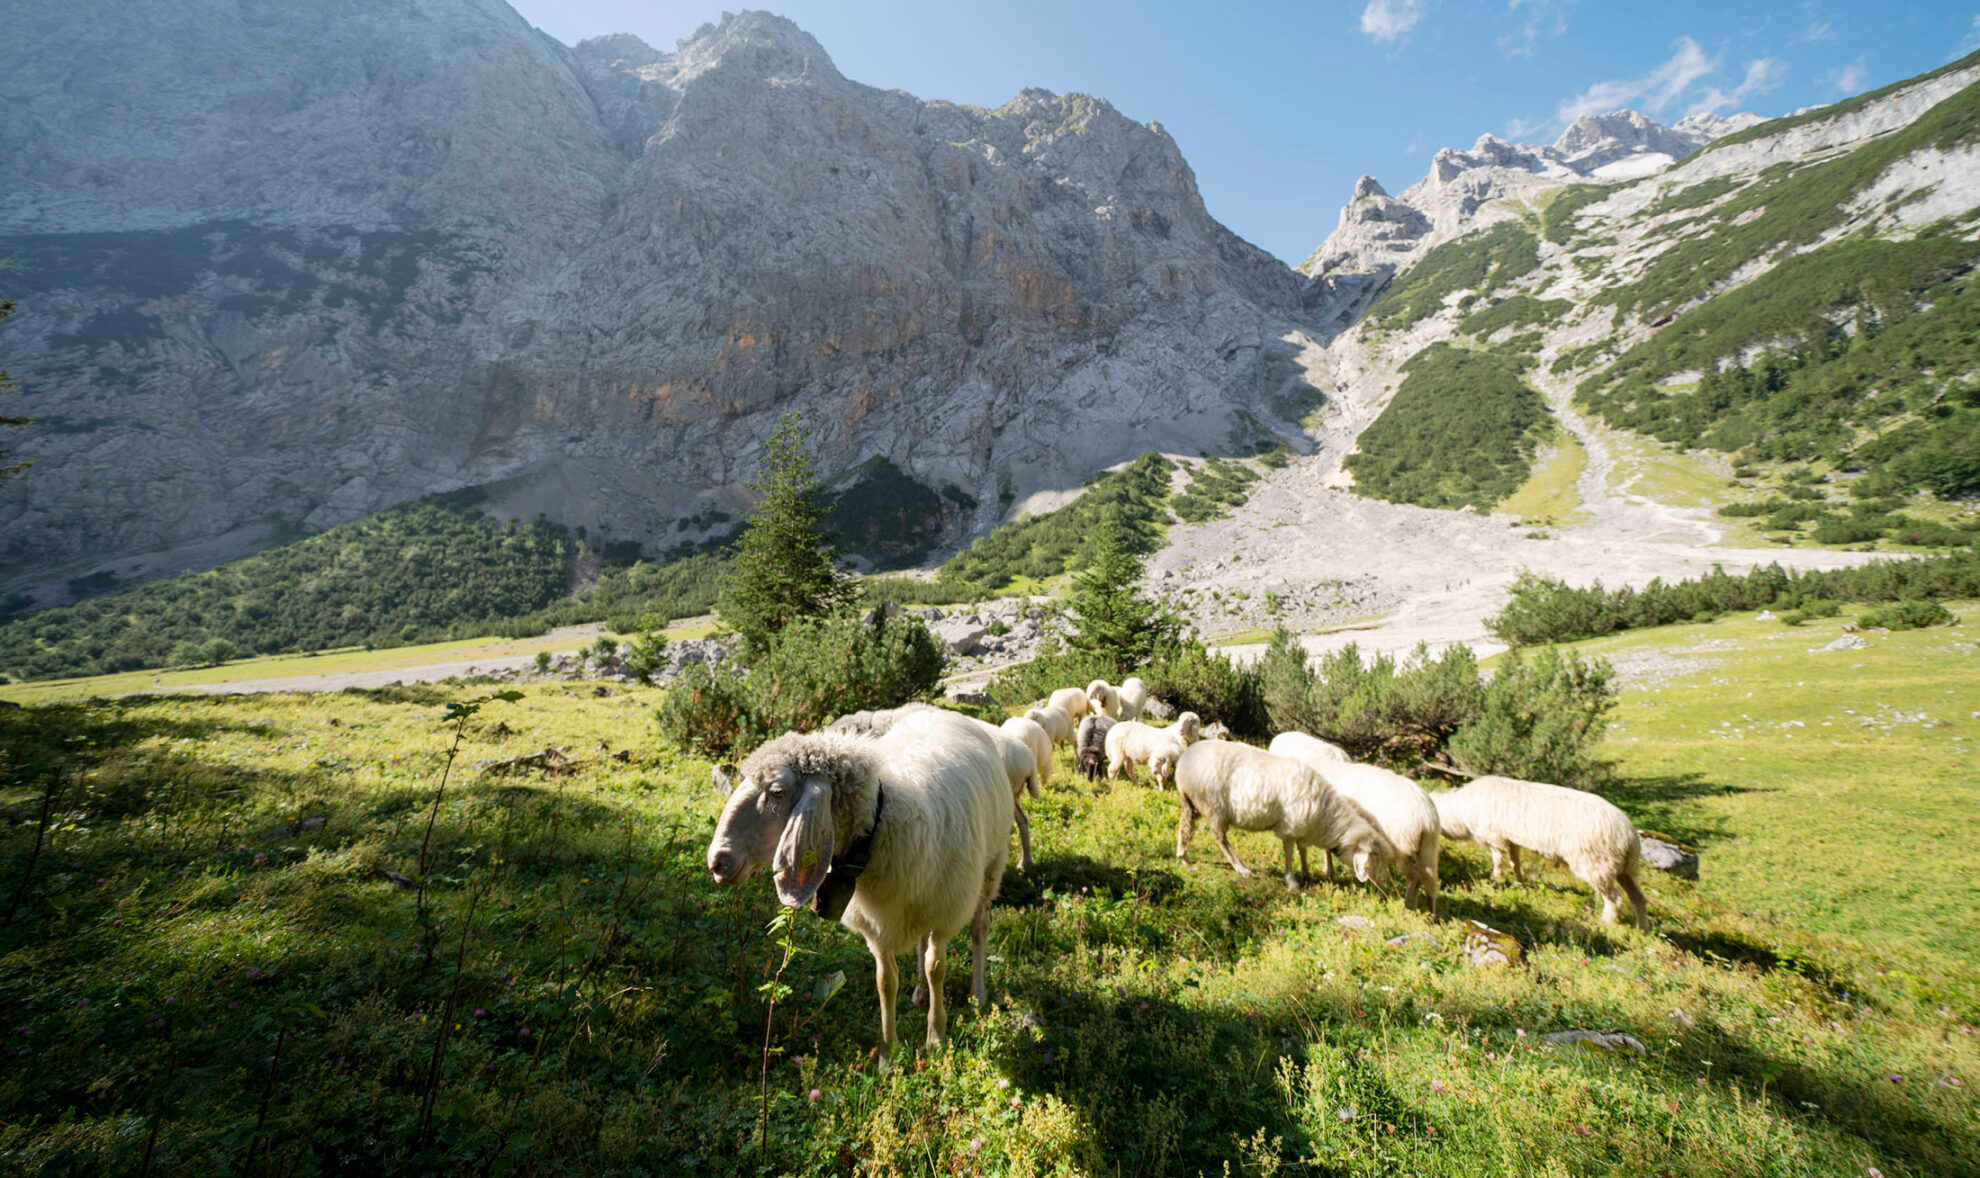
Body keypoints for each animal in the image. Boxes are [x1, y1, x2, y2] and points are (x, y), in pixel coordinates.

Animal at [708, 708, 1013, 1069]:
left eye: (778, 791)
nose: (717, 861)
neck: (880, 822)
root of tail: (940, 711)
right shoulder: (877, 926)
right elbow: (886, 982)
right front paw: (887, 1055)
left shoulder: (944, 911)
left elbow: (936, 967)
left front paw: (936, 1038)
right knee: (920, 942)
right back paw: (919, 993)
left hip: (991, 865)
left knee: (979, 927)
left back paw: (977, 994)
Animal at [1172, 740, 1393, 890]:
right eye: (1375, 856)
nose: (1385, 881)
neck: (1325, 816)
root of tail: (1183, 763)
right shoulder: (1290, 827)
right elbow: (1289, 851)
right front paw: (1292, 881)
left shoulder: (1302, 828)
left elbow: (1302, 849)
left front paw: (1306, 873)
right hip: (1214, 807)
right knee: (1220, 839)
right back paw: (1241, 868)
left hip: (1192, 802)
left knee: (1185, 827)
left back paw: (1184, 856)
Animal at [1267, 732, 1441, 918]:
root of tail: (1427, 816)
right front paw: (1328, 872)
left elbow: (1303, 848)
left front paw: (1309, 874)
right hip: (1428, 848)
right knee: (1429, 881)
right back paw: (1429, 914)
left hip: (1398, 847)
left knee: (1412, 876)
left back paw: (1404, 905)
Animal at [1433, 776, 1647, 930]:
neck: (1460, 812)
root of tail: (1629, 834)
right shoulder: (1512, 841)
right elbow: (1516, 865)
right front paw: (1522, 888)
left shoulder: (1495, 839)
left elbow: (1498, 865)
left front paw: (1495, 885)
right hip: (1621, 866)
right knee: (1637, 897)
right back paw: (1641, 931)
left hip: (1596, 863)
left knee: (1614, 899)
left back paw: (1605, 924)